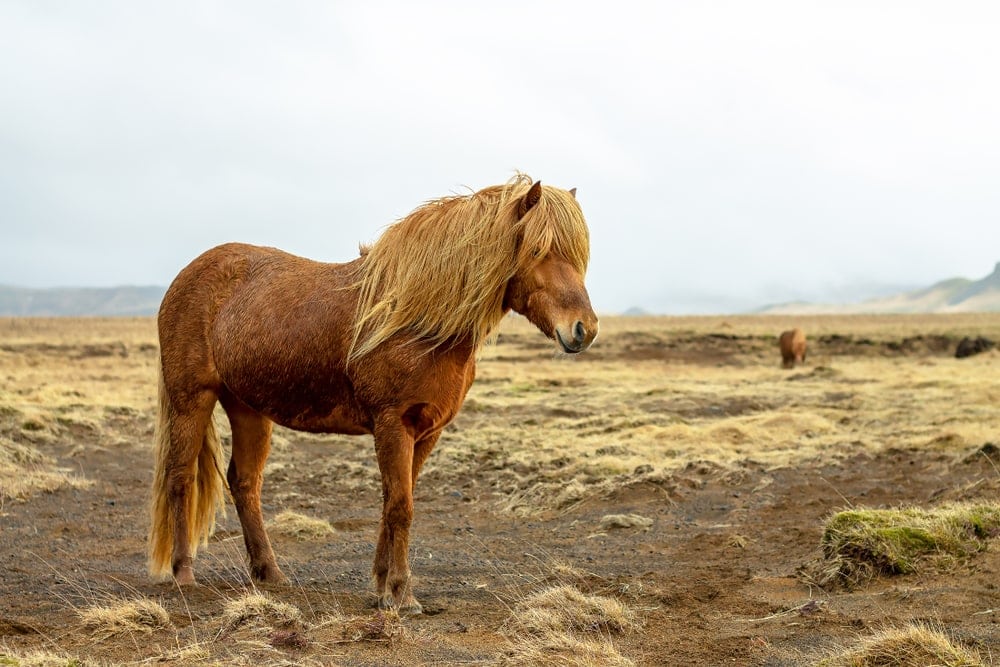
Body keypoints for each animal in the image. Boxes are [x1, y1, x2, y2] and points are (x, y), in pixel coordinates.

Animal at [147, 175, 598, 614]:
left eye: (580, 257)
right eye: (538, 250)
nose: (584, 330)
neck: (417, 320)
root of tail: (187, 275)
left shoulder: (426, 431)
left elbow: (395, 503)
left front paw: (382, 587)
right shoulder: (393, 423)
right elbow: (400, 506)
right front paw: (401, 594)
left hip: (248, 408)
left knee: (244, 483)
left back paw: (270, 572)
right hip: (192, 400)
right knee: (181, 477)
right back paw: (183, 572)